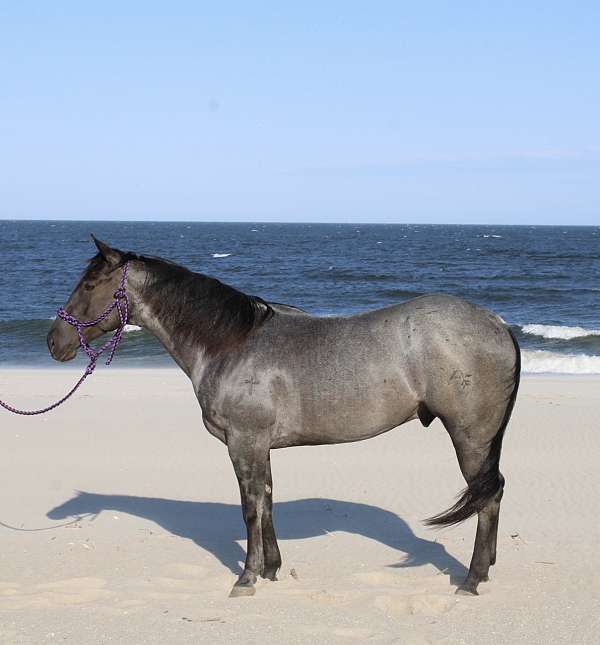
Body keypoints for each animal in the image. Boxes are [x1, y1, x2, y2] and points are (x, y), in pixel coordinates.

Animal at [47, 237, 520, 597]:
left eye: (90, 283)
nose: (54, 340)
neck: (230, 343)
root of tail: (496, 322)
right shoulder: (260, 446)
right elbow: (268, 501)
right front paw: (272, 568)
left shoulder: (244, 442)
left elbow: (250, 508)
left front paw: (246, 577)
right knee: (491, 495)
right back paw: (486, 568)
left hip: (470, 437)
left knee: (490, 495)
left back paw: (472, 578)